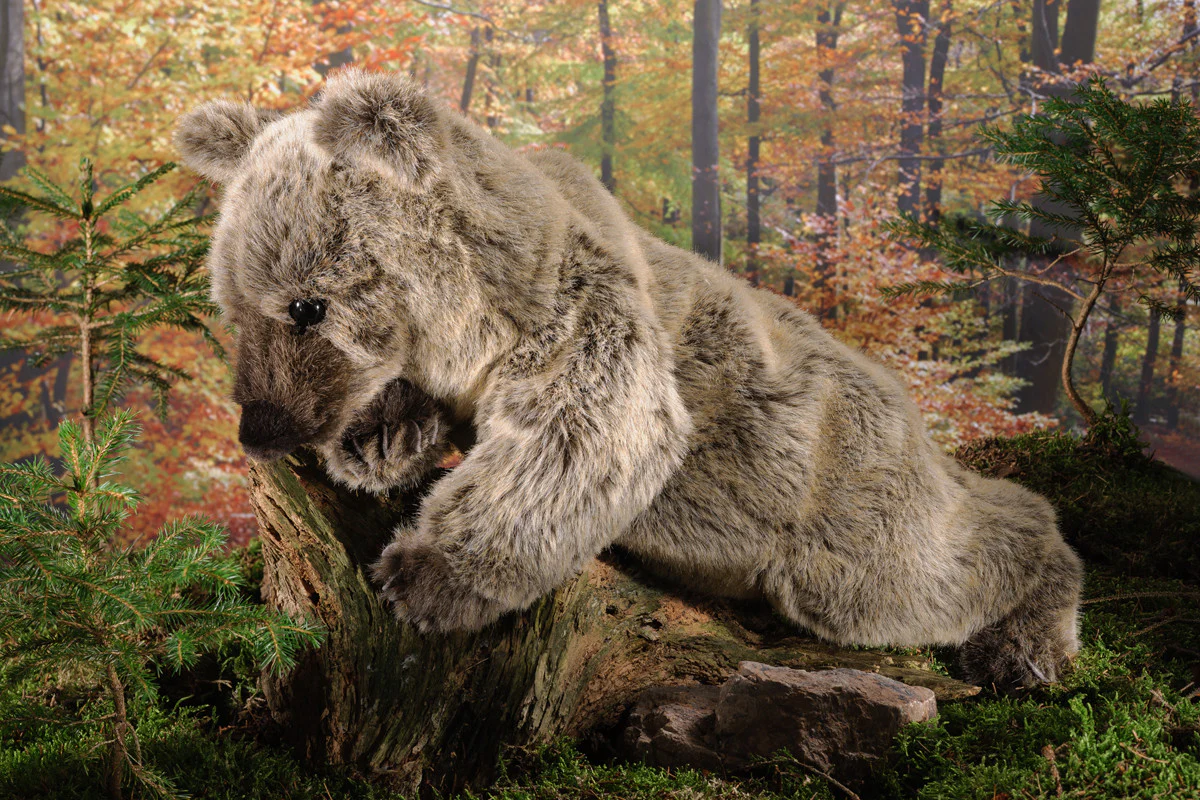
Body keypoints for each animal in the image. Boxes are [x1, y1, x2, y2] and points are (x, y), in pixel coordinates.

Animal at [174, 68, 1083, 688]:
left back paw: (1029, 641)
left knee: (945, 558)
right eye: (230, 304)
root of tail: (905, 404)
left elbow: (591, 433)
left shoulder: (574, 307)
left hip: (838, 511)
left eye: (307, 306)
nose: (261, 428)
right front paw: (379, 439)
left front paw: (426, 574)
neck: (463, 319)